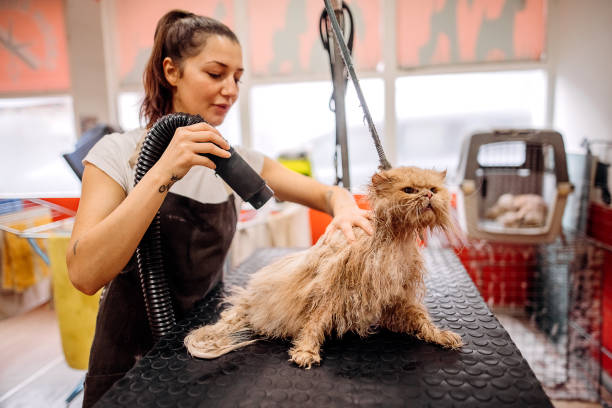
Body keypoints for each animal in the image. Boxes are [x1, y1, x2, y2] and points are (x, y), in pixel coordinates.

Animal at [184, 166, 462, 366]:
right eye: (409, 190)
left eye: (433, 189)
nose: (428, 195)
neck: (395, 240)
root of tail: (248, 301)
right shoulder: (333, 290)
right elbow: (315, 322)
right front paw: (306, 351)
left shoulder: (399, 295)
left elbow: (421, 318)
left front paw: (439, 334)